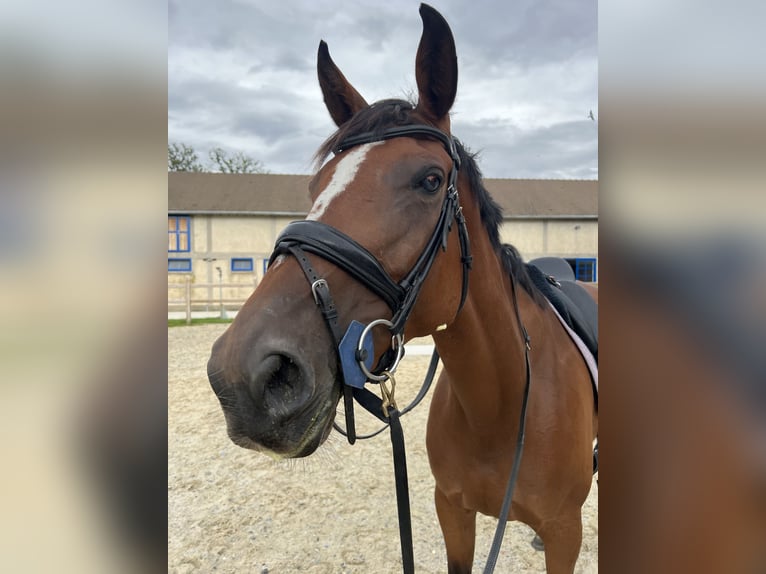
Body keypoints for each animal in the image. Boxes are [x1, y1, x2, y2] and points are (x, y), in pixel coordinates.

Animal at [210, 5, 600, 574]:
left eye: (431, 180)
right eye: (316, 186)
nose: (243, 375)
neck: (499, 406)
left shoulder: (564, 533)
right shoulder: (452, 511)